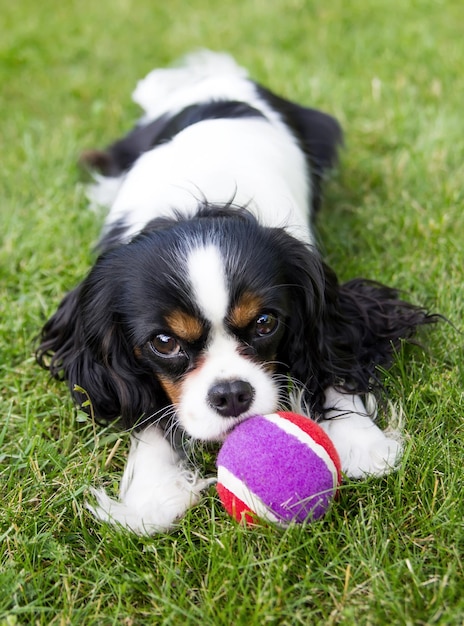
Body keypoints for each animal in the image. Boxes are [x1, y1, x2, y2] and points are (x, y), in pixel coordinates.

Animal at [38, 53, 434, 532]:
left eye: (265, 323)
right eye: (164, 342)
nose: (230, 395)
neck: (202, 207)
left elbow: (332, 355)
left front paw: (361, 440)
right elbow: (146, 410)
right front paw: (151, 493)